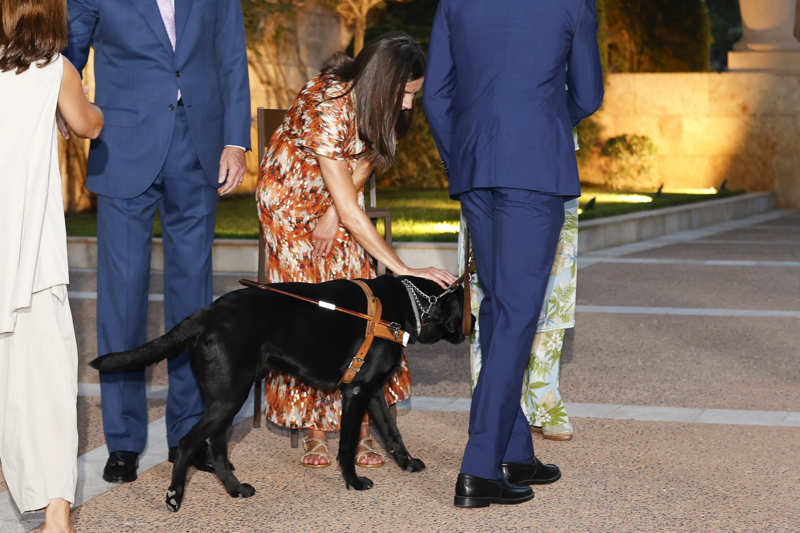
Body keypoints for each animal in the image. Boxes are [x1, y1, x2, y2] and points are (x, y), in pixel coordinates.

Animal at [92, 274, 468, 512]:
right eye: (466, 308)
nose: (476, 323)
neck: (404, 306)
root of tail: (205, 314)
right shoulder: (357, 391)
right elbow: (347, 445)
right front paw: (353, 481)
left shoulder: (372, 391)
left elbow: (392, 432)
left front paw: (406, 463)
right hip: (230, 396)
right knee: (187, 443)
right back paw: (174, 495)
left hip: (225, 398)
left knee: (217, 447)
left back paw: (235, 489)